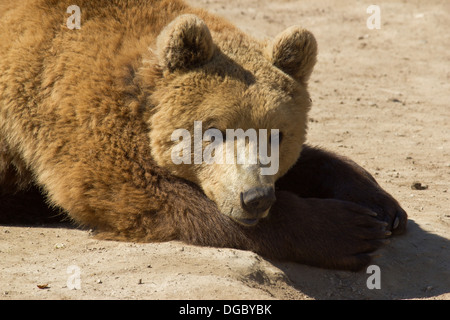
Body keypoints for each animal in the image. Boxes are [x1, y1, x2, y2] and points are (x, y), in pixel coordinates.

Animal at [0, 0, 408, 272]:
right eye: (213, 131)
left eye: (276, 135)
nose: (255, 197)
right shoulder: (78, 109)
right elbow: (133, 190)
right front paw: (351, 229)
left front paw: (382, 207)